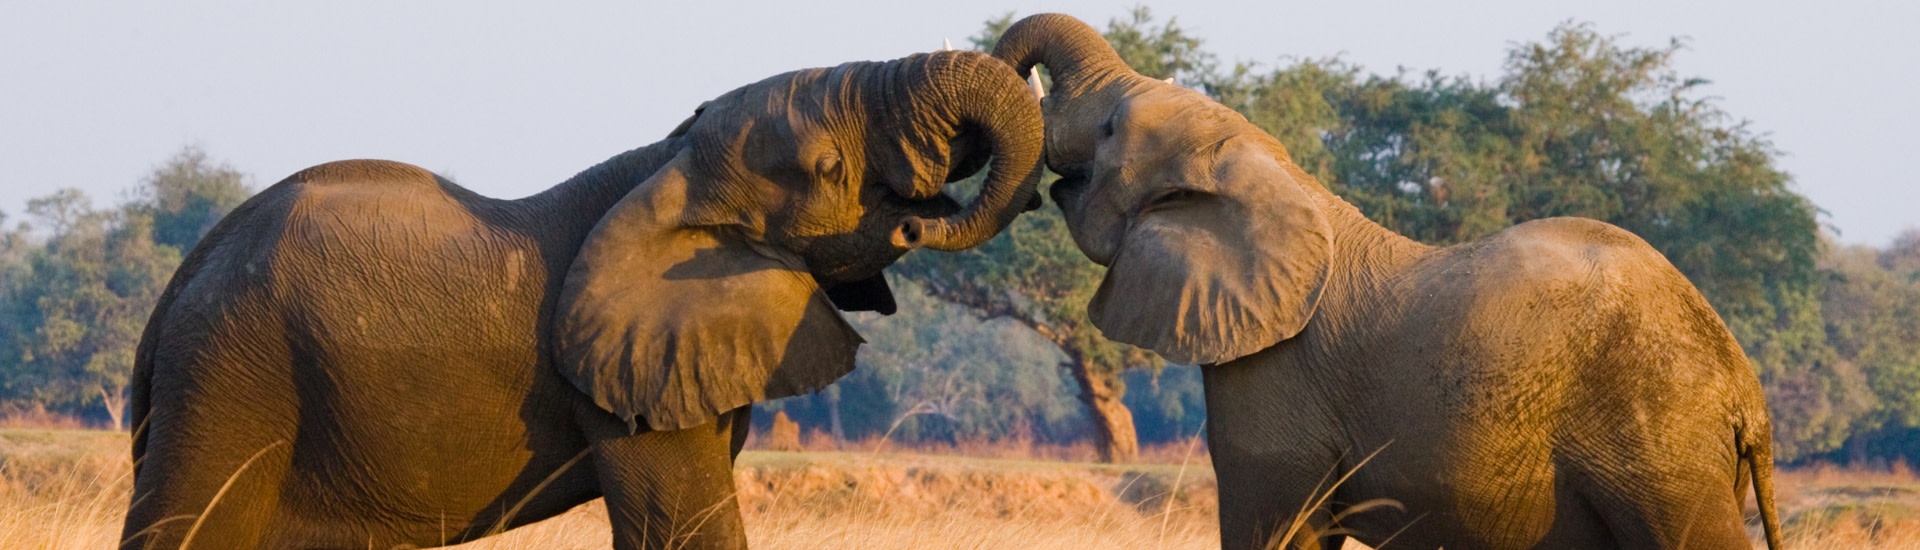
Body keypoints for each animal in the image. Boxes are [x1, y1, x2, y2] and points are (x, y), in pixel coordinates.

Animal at [116, 49, 1052, 546]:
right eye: (827, 169)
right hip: (230, 382)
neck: (666, 162)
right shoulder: (627, 388)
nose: (918, 219)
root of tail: (174, 293)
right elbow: (684, 524)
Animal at [990, 12, 1781, 550]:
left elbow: (1274, 527)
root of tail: (1746, 396)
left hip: (1662, 455)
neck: (1275, 173)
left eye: (1110, 131)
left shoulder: (1274, 382)